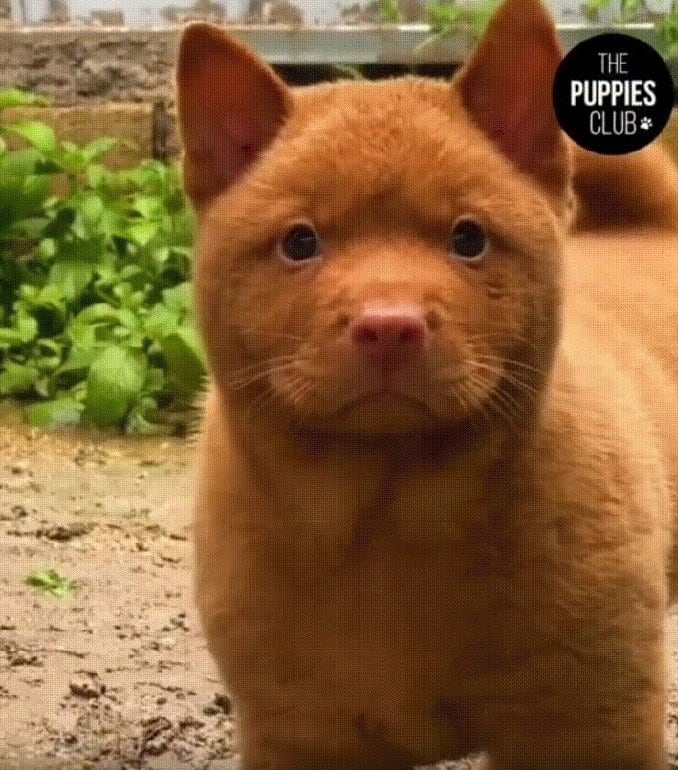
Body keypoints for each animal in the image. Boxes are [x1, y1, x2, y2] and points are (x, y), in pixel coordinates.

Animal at [177, 1, 678, 760]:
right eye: (300, 243)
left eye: (468, 239)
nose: (390, 326)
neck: (387, 526)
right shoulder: (300, 732)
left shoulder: (587, 723)